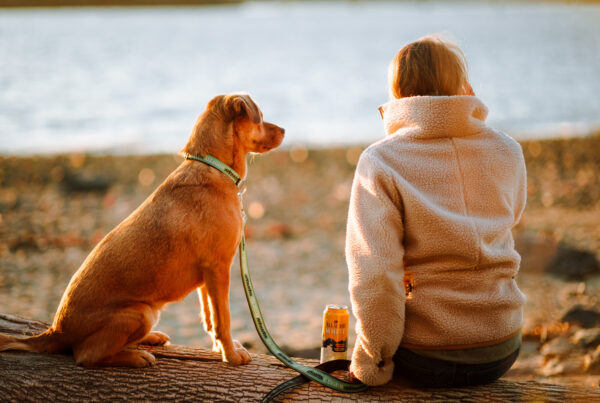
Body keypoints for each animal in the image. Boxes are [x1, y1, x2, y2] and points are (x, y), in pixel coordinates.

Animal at [0, 93, 284, 368]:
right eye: (260, 117)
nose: (284, 129)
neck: (213, 166)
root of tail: (56, 331)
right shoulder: (218, 268)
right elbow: (223, 318)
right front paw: (231, 356)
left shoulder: (208, 275)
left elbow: (210, 318)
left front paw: (222, 348)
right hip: (141, 312)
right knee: (86, 355)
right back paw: (136, 357)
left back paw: (149, 339)